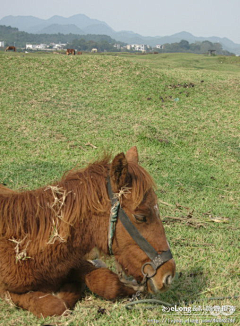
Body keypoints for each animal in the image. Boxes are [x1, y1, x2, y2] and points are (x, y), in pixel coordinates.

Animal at [0, 147, 176, 316]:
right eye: (141, 217)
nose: (168, 276)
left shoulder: (75, 262)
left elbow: (108, 282)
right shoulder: (7, 291)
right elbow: (53, 305)